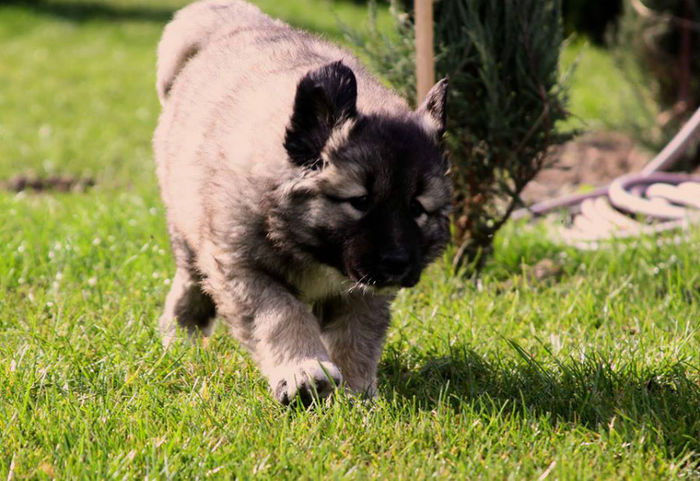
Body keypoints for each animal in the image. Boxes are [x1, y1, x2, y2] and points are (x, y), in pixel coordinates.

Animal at [154, 0, 452, 404]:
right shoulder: (243, 269)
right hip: (187, 231)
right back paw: (179, 337)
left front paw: (357, 394)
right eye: (360, 201)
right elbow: (283, 315)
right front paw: (304, 371)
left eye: (417, 209)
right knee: (190, 284)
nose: (397, 263)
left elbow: (358, 335)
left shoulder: (364, 291)